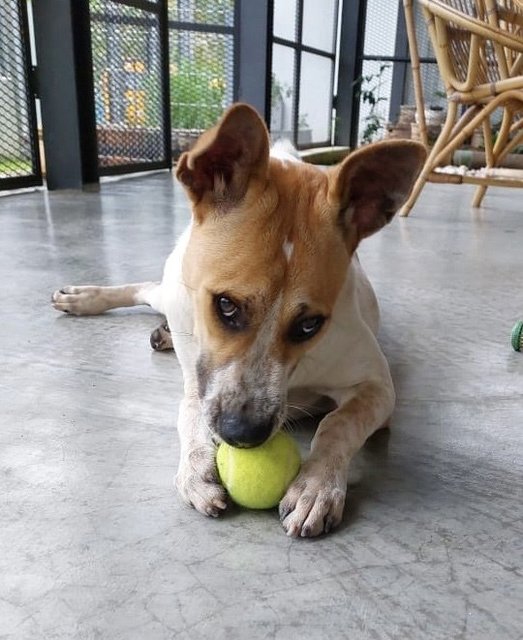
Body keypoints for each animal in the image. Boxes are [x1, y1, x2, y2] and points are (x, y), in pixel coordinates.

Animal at [52, 104, 426, 536]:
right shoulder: (199, 378)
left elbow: (338, 422)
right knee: (146, 289)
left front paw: (317, 485)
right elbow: (190, 411)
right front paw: (196, 466)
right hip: (174, 292)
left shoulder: (377, 387)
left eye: (310, 325)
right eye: (226, 306)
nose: (244, 435)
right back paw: (85, 298)